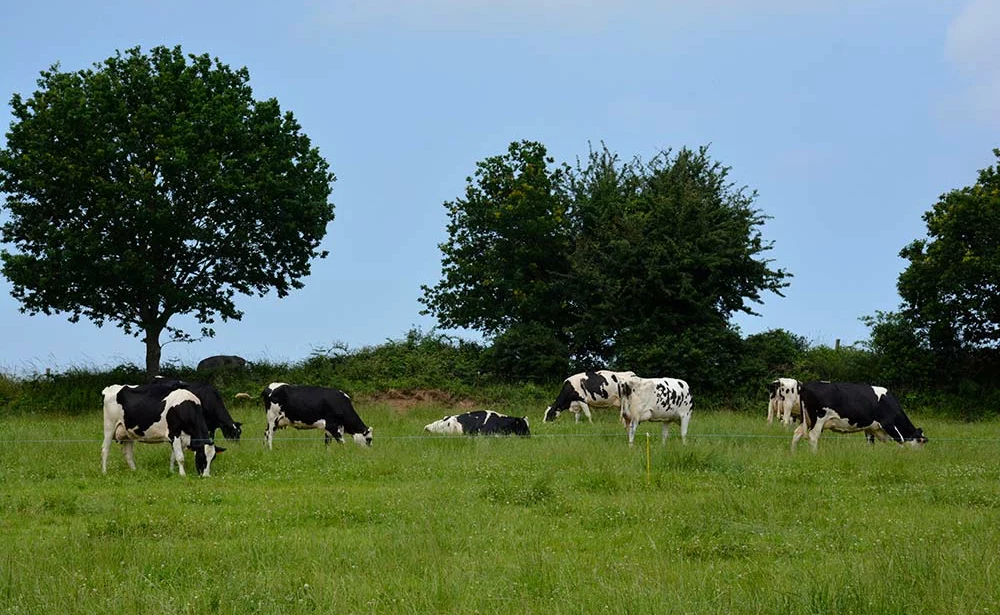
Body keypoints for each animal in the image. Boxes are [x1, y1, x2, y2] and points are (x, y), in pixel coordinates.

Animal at [788, 380, 928, 452]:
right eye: (921, 442)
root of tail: (806, 386)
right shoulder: (888, 423)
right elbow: (901, 440)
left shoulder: (870, 428)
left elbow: (870, 443)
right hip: (818, 419)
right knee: (813, 437)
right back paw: (814, 455)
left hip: (807, 419)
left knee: (797, 433)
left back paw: (793, 454)